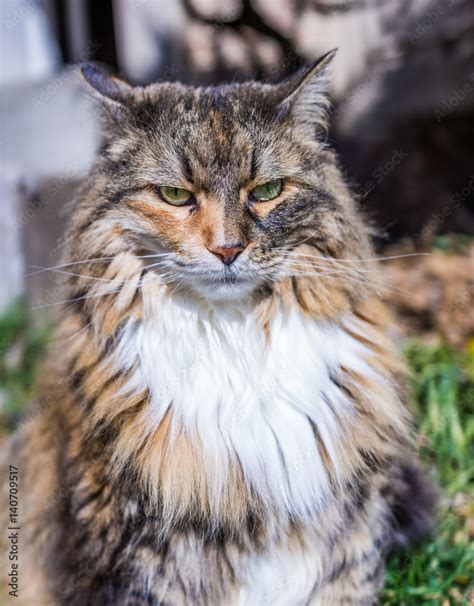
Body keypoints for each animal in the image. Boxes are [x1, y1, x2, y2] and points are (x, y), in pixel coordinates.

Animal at [0, 52, 434, 606]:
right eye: (174, 195)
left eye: (267, 191)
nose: (227, 249)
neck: (234, 345)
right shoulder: (138, 566)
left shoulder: (347, 552)